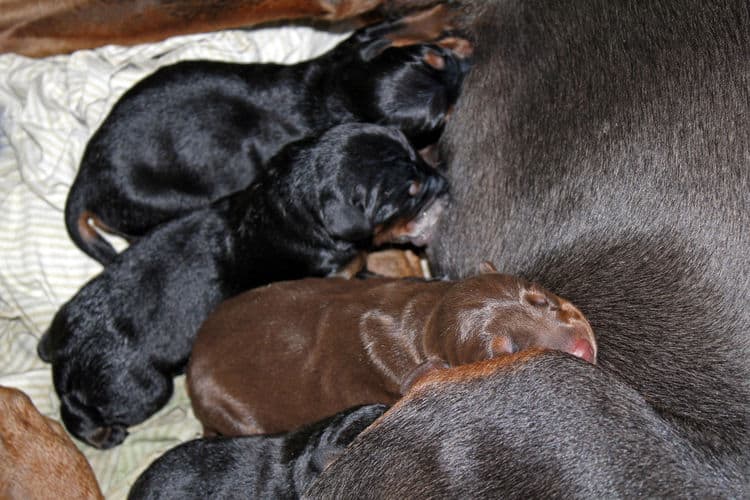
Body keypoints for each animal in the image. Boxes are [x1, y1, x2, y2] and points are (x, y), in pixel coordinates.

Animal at [38, 122, 450, 450]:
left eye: (417, 153)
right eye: (410, 192)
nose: (446, 183)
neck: (289, 208)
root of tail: (65, 351)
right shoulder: (335, 274)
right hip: (140, 387)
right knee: (76, 408)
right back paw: (102, 433)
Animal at [67, 9, 472, 264]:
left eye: (436, 55)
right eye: (440, 119)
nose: (471, 63)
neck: (337, 90)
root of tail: (85, 179)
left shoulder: (353, 48)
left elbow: (394, 25)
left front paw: (447, 16)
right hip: (160, 204)